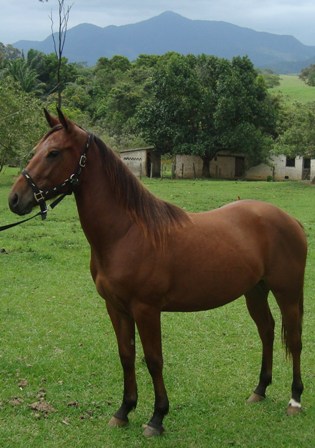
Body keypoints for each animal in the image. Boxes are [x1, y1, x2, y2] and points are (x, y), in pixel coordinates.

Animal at [8, 109, 308, 438]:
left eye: (54, 153)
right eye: (35, 150)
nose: (15, 199)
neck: (127, 233)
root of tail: (290, 220)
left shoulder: (146, 309)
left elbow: (153, 360)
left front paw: (156, 418)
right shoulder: (116, 308)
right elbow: (126, 356)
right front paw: (123, 411)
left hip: (287, 292)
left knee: (294, 339)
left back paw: (294, 400)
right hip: (255, 291)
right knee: (267, 331)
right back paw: (260, 390)